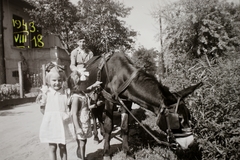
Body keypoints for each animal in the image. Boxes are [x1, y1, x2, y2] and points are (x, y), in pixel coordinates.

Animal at [68, 50, 202, 159]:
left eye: (189, 116)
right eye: (178, 119)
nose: (191, 143)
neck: (120, 74)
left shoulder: (126, 102)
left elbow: (124, 127)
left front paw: (127, 152)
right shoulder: (109, 101)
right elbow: (109, 126)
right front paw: (106, 153)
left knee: (99, 114)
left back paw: (100, 132)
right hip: (91, 97)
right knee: (94, 114)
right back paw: (96, 136)